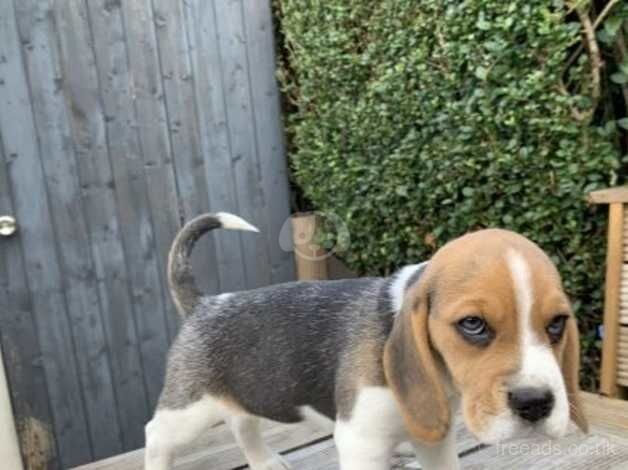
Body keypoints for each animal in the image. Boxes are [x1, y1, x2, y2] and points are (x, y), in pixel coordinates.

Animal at [145, 214, 588, 470]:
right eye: (473, 324)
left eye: (556, 324)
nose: (536, 404)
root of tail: (206, 303)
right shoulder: (362, 444)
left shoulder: (435, 439)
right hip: (187, 410)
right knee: (157, 435)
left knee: (241, 421)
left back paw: (263, 461)